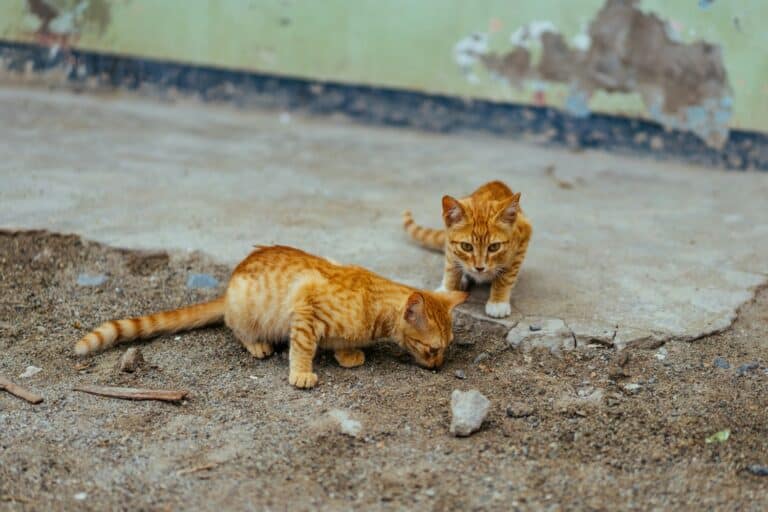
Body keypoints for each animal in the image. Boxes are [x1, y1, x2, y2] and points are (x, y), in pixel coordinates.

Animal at [75, 244, 468, 388]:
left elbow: (342, 343)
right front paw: (302, 374)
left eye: (446, 348)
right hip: (247, 311)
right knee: (236, 329)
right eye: (433, 349)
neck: (372, 301)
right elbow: (303, 348)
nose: (439, 367)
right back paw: (257, 345)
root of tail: (229, 286)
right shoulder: (306, 310)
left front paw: (347, 354)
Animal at [404, 179, 532, 316]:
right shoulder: (450, 245)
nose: (480, 268)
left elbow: (507, 277)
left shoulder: (523, 240)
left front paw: (498, 302)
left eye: (494, 247)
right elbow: (451, 268)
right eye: (466, 247)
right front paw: (448, 290)